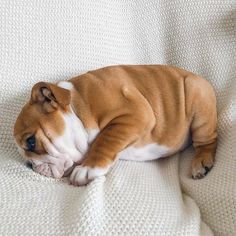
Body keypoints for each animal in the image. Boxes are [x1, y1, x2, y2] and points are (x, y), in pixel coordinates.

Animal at [13, 65, 218, 186]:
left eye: (31, 142)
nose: (29, 165)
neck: (78, 107)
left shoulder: (135, 113)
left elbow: (105, 139)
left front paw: (88, 169)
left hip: (198, 100)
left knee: (207, 141)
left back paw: (201, 162)